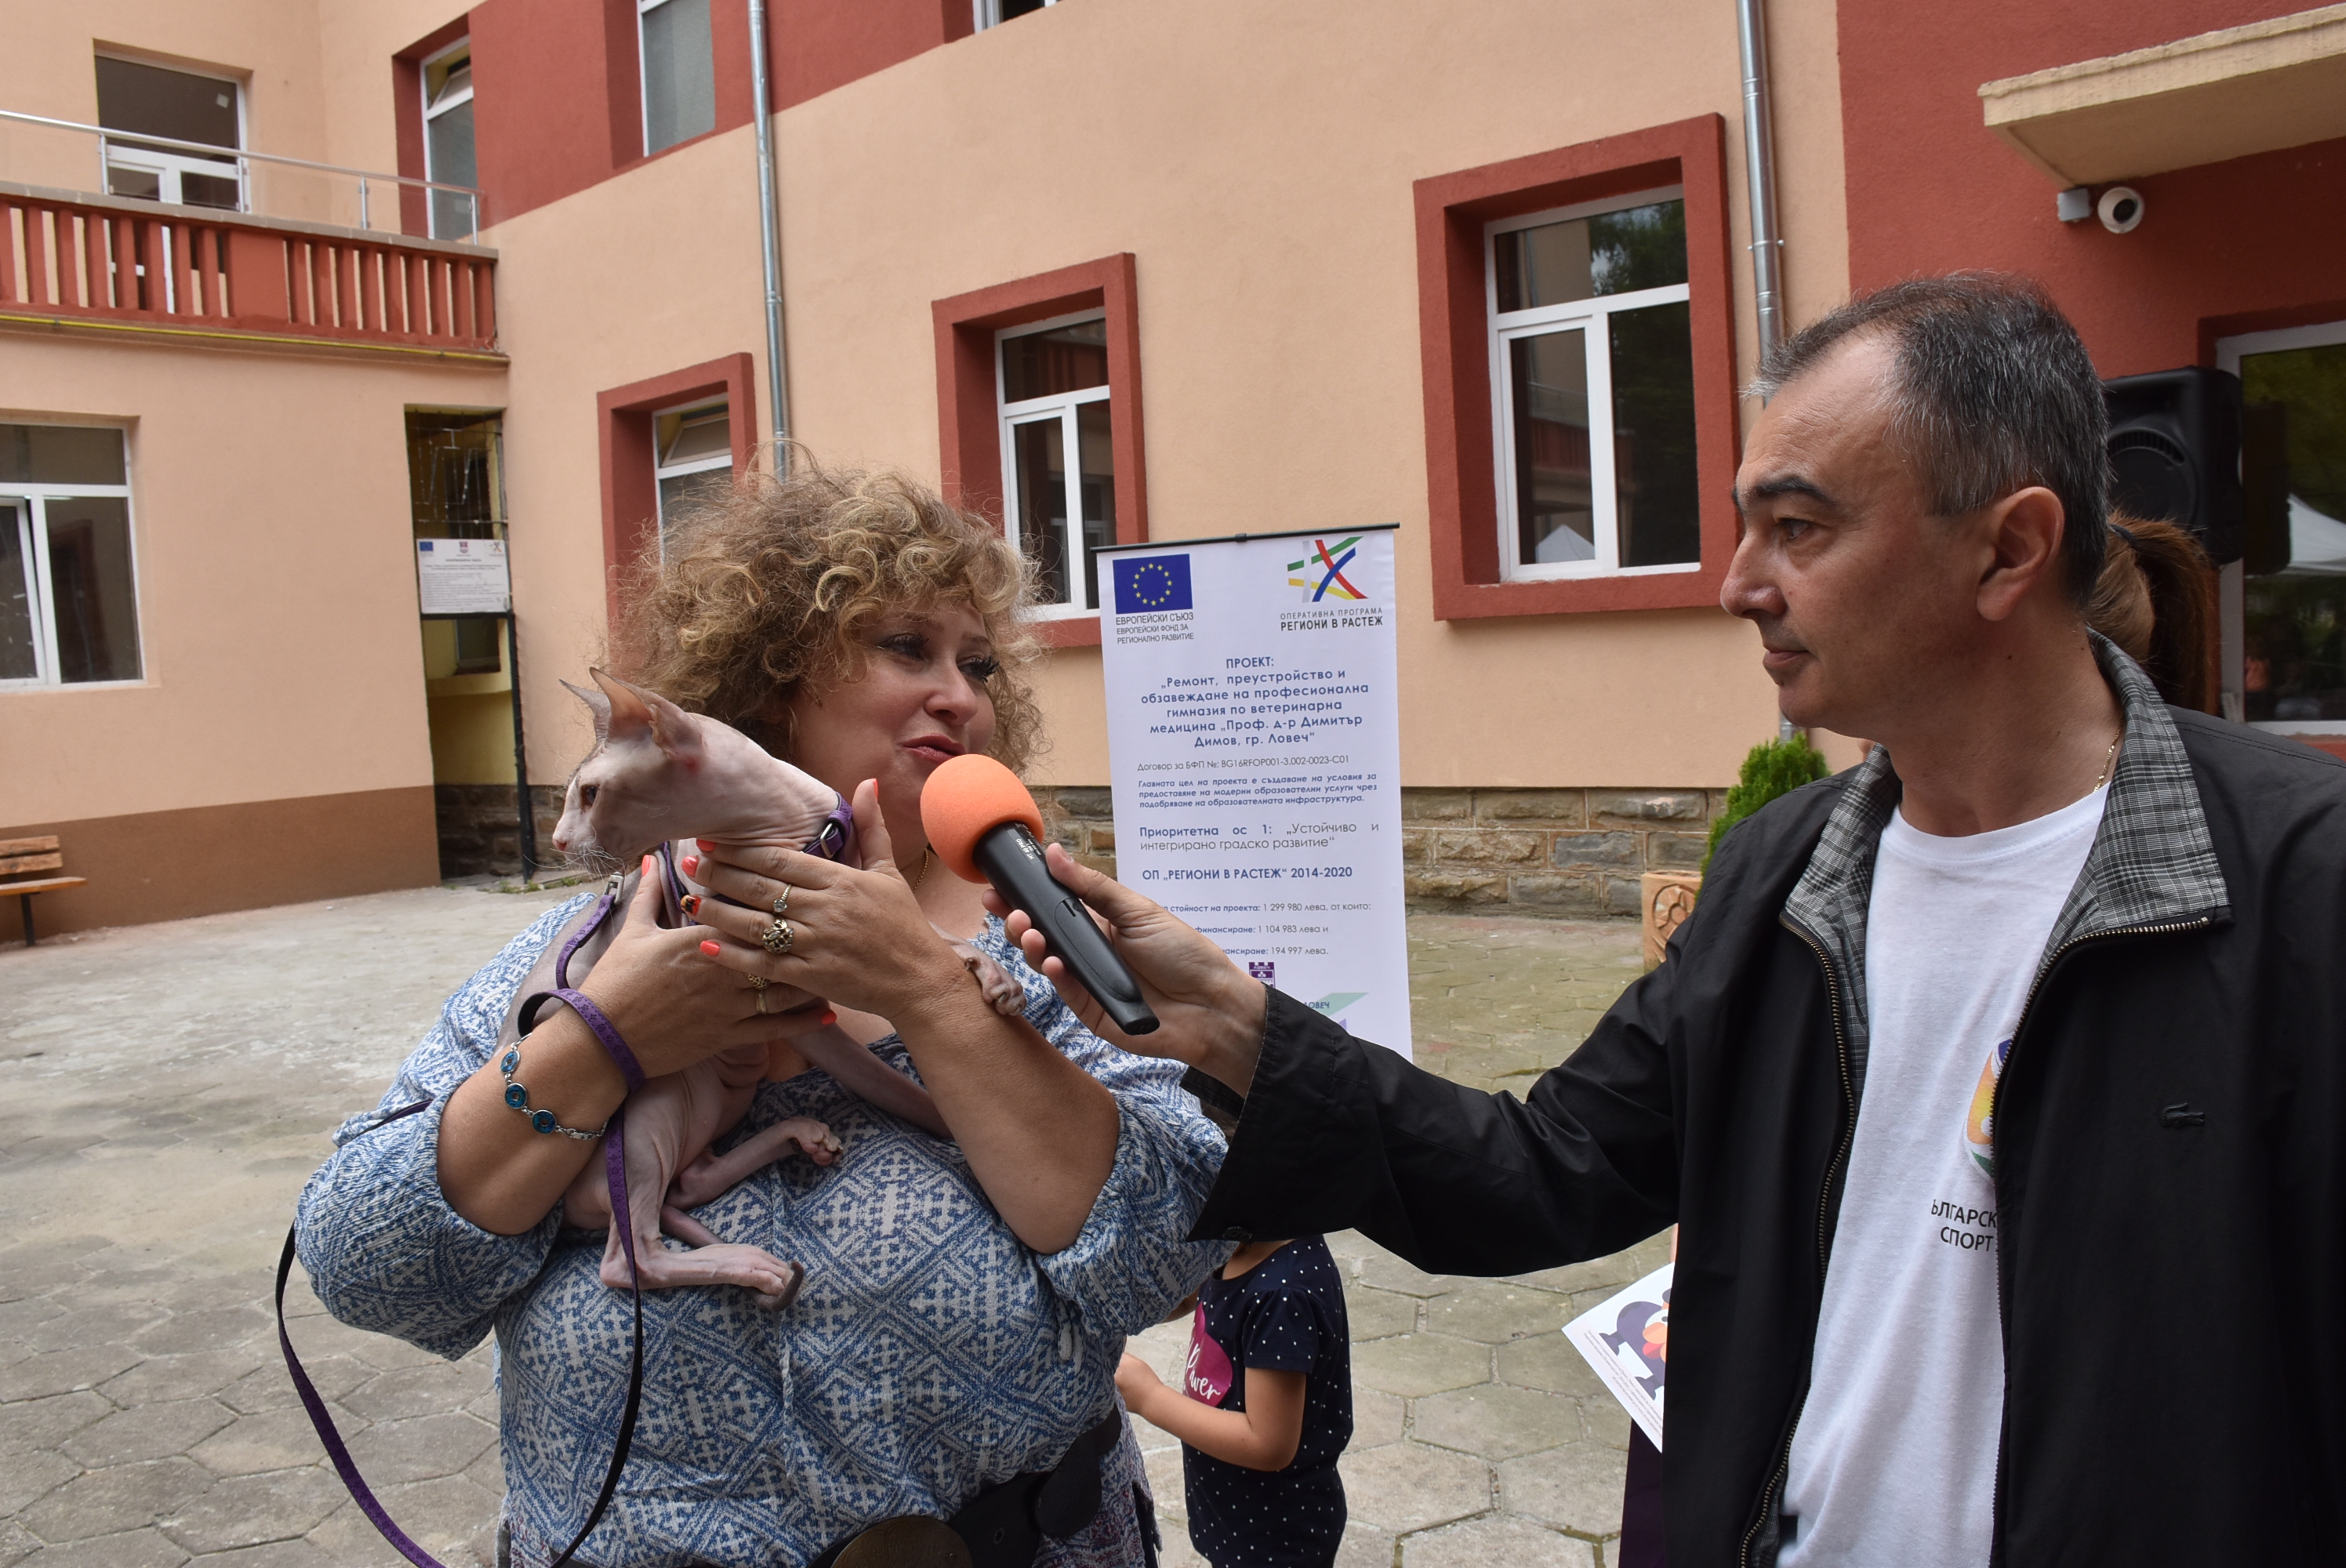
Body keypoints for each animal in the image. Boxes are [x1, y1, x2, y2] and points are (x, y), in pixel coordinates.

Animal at [495, 669, 1023, 1303]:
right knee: (631, 1257)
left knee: (690, 1183)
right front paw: (967, 1135)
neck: (784, 833)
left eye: (591, 794)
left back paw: (798, 1141)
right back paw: (753, 1265)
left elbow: (929, 934)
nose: (557, 842)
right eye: (574, 794)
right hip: (645, 1104)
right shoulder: (793, 1004)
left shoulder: (861, 892)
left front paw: (993, 973)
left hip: (717, 1094)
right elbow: (894, 1087)